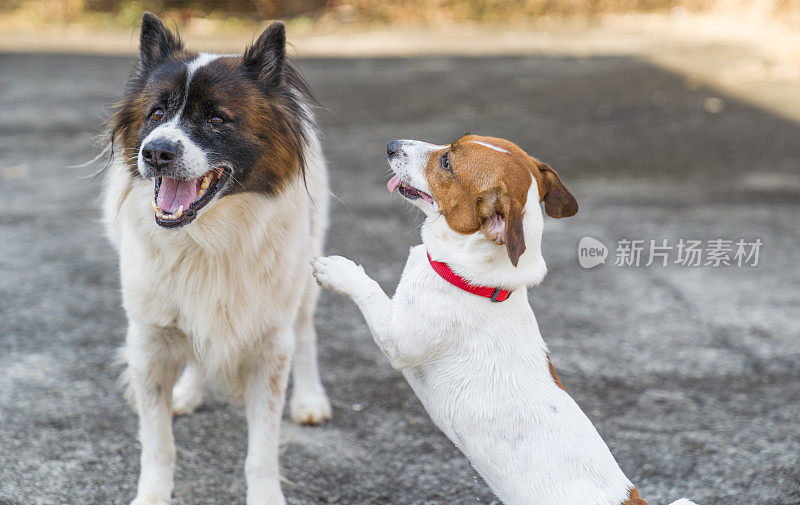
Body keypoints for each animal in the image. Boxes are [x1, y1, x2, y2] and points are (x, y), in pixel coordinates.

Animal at [102, 11, 332, 504]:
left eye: (216, 119)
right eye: (156, 114)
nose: (155, 152)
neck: (206, 240)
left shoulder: (270, 347)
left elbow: (262, 450)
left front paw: (266, 496)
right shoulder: (149, 342)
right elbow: (158, 444)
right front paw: (152, 494)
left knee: (306, 332)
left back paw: (310, 399)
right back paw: (186, 392)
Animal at [310, 136, 696, 504]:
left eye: (447, 162)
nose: (391, 146)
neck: (480, 284)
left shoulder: (397, 339)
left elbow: (368, 288)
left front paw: (337, 270)